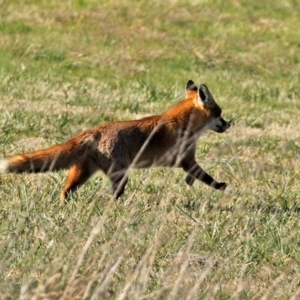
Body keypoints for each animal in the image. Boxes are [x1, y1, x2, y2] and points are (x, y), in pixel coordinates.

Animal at [0, 81, 231, 200]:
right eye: (220, 114)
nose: (228, 124)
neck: (185, 124)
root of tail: (93, 130)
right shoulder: (184, 159)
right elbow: (205, 177)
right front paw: (220, 186)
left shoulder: (185, 161)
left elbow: (195, 176)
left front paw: (190, 183)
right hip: (120, 175)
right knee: (114, 196)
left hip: (83, 173)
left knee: (65, 191)